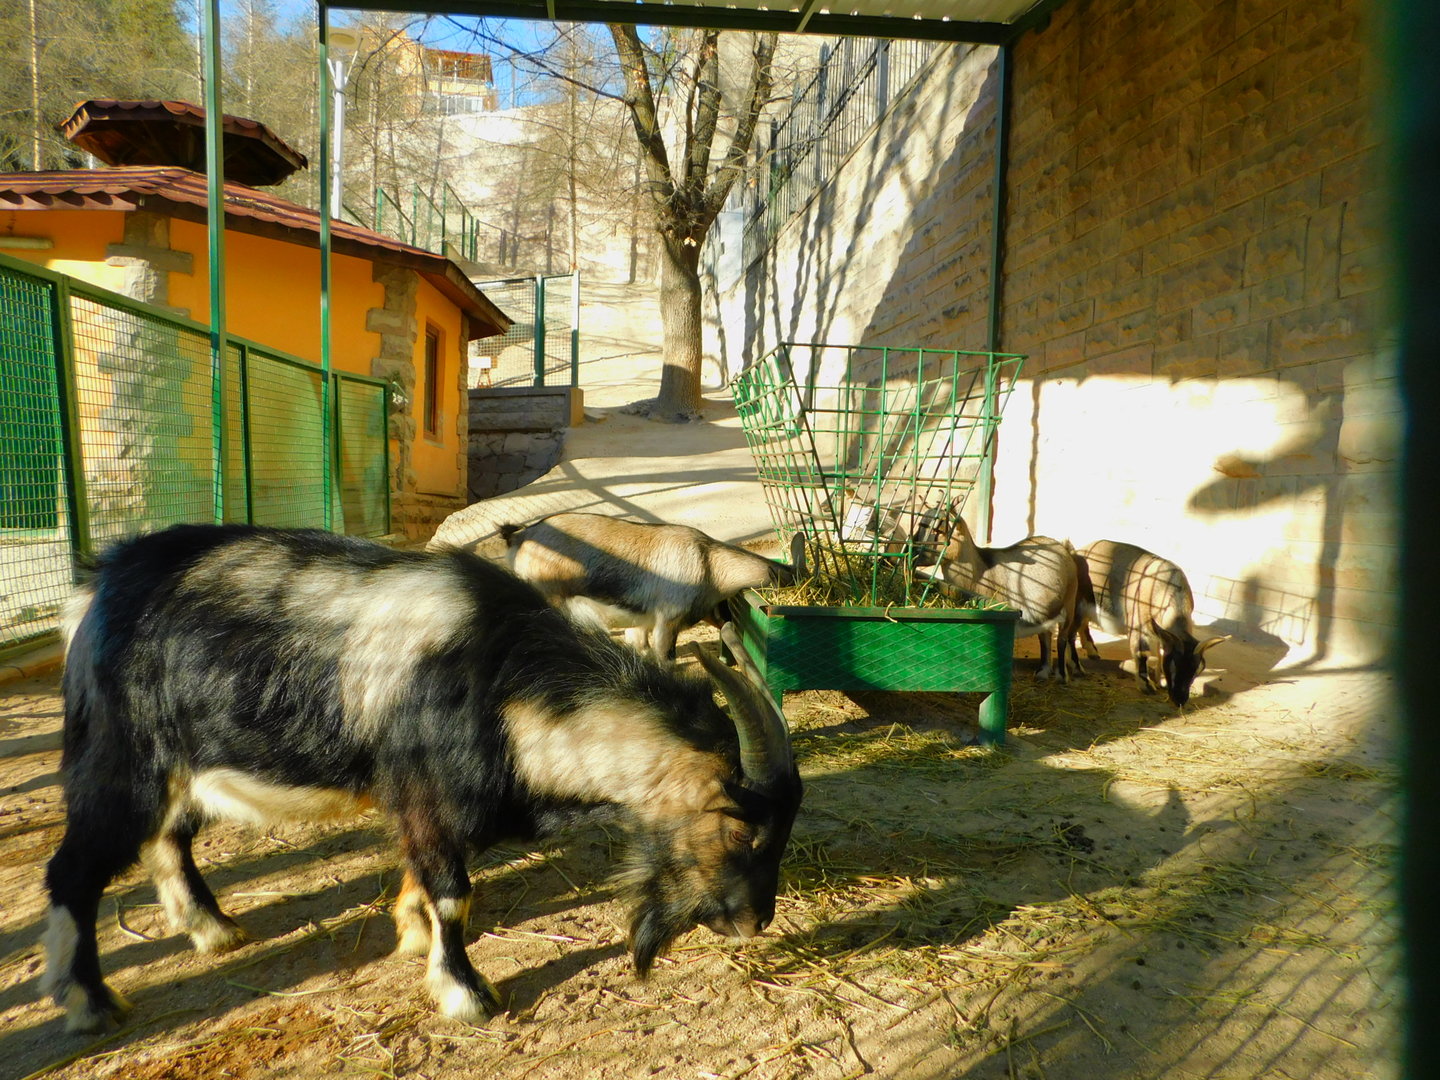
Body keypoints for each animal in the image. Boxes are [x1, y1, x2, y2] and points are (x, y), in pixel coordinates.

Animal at [924, 513, 1079, 681]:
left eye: (939, 530)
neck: (980, 573)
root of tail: (1063, 547)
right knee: (1045, 635)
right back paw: (1043, 672)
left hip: (1070, 603)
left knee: (1062, 638)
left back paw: (1062, 676)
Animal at [1066, 539, 1226, 706]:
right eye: (1173, 666)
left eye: (1197, 671)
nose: (1180, 700)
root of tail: (1076, 552)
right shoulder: (1138, 625)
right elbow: (1142, 653)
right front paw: (1147, 686)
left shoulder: (1160, 632)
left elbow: (1159, 651)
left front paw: (1160, 681)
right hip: (1076, 603)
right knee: (1070, 634)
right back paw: (1077, 668)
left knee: (1083, 625)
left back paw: (1092, 651)